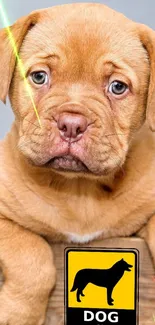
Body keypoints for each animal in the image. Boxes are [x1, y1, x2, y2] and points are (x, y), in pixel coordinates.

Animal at [0, 3, 155, 324]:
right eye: (39, 77)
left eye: (118, 87)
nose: (71, 124)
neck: (79, 189)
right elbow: (30, 254)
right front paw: (18, 313)